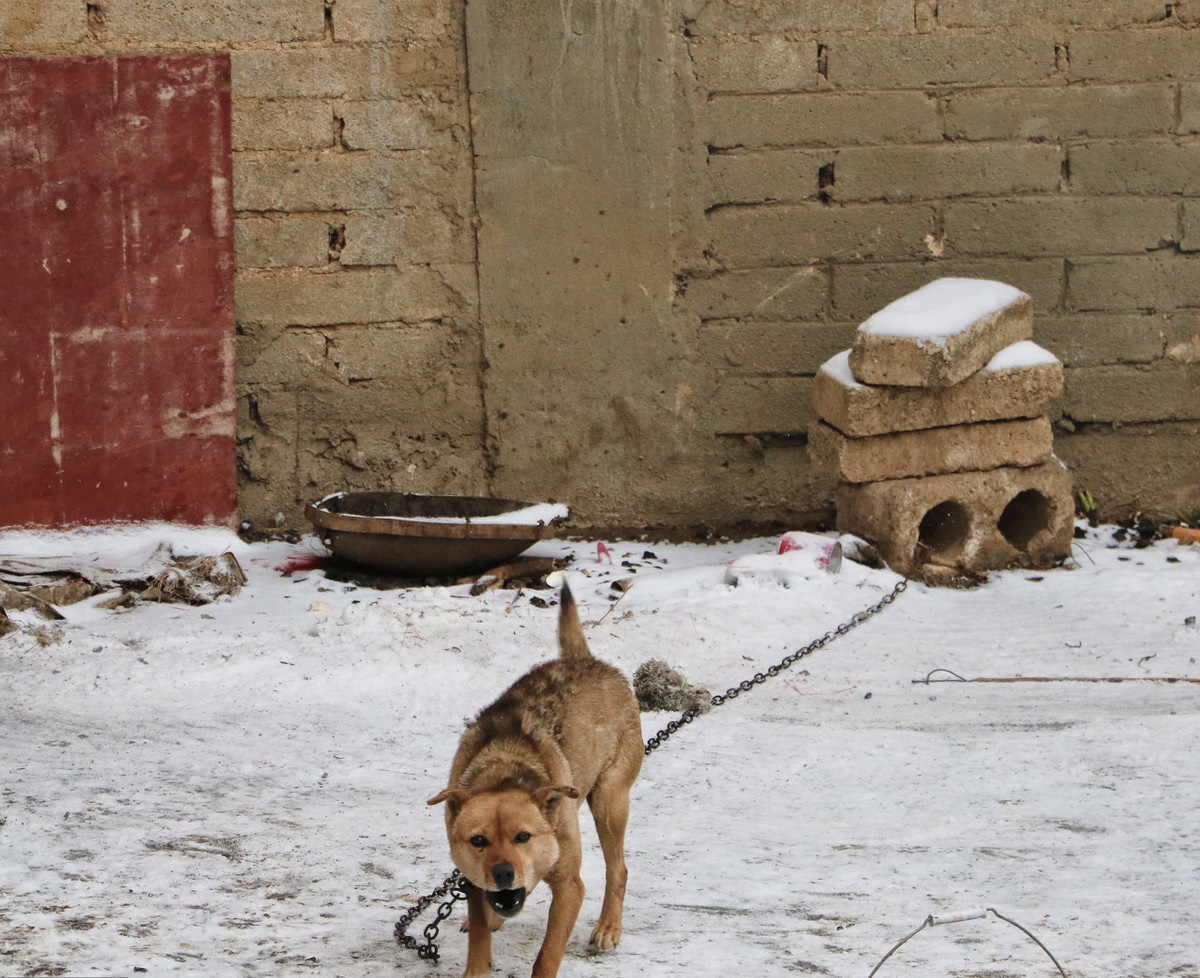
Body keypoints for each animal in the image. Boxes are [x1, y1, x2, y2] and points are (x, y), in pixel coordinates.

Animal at [427, 585, 643, 974]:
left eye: (523, 836)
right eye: (478, 840)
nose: (502, 873)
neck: (504, 771)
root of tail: (586, 660)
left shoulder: (570, 887)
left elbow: (547, 955)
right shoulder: (472, 880)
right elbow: (479, 932)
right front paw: (477, 965)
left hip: (609, 802)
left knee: (618, 869)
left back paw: (609, 926)